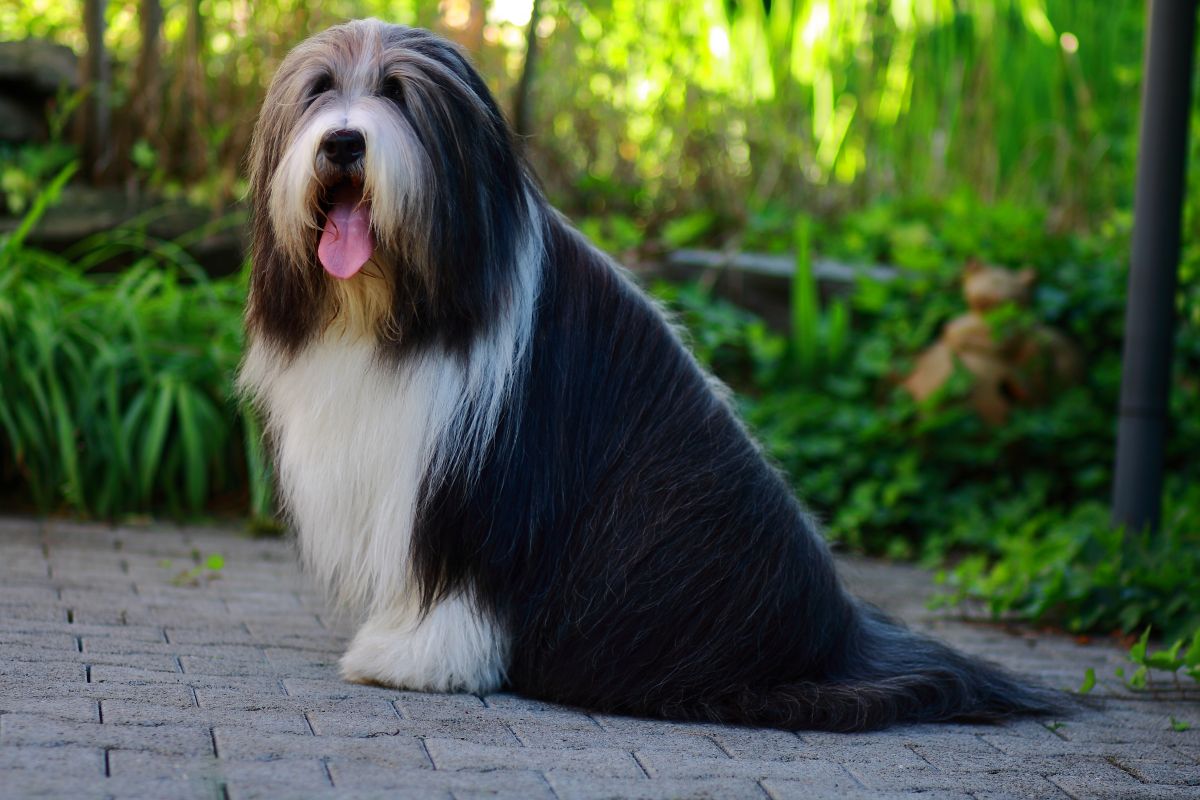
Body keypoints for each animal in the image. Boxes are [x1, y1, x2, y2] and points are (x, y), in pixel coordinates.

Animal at [239, 19, 1062, 731]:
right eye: (320, 89)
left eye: (398, 92)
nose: (345, 140)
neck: (394, 307)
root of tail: (839, 638)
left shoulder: (484, 480)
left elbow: (461, 576)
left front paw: (411, 659)